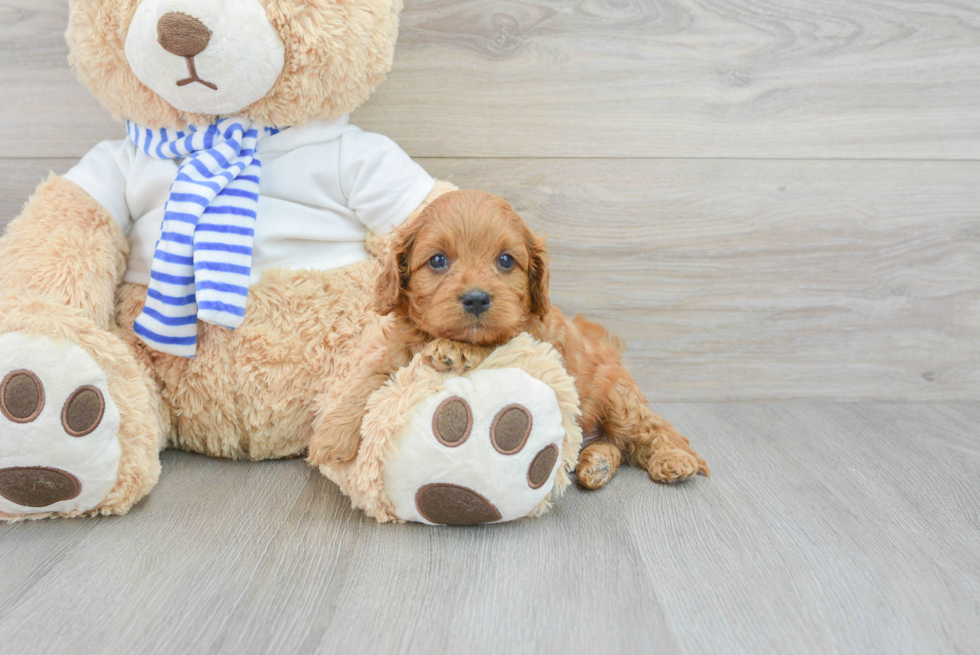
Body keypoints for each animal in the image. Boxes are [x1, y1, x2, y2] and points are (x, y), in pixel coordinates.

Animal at [310, 190, 708, 486]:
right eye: (437, 261)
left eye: (505, 260)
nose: (476, 299)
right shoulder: (396, 355)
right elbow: (367, 379)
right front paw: (331, 434)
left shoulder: (534, 341)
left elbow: (494, 342)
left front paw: (453, 349)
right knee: (615, 447)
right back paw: (597, 464)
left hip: (619, 398)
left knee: (653, 430)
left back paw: (676, 459)